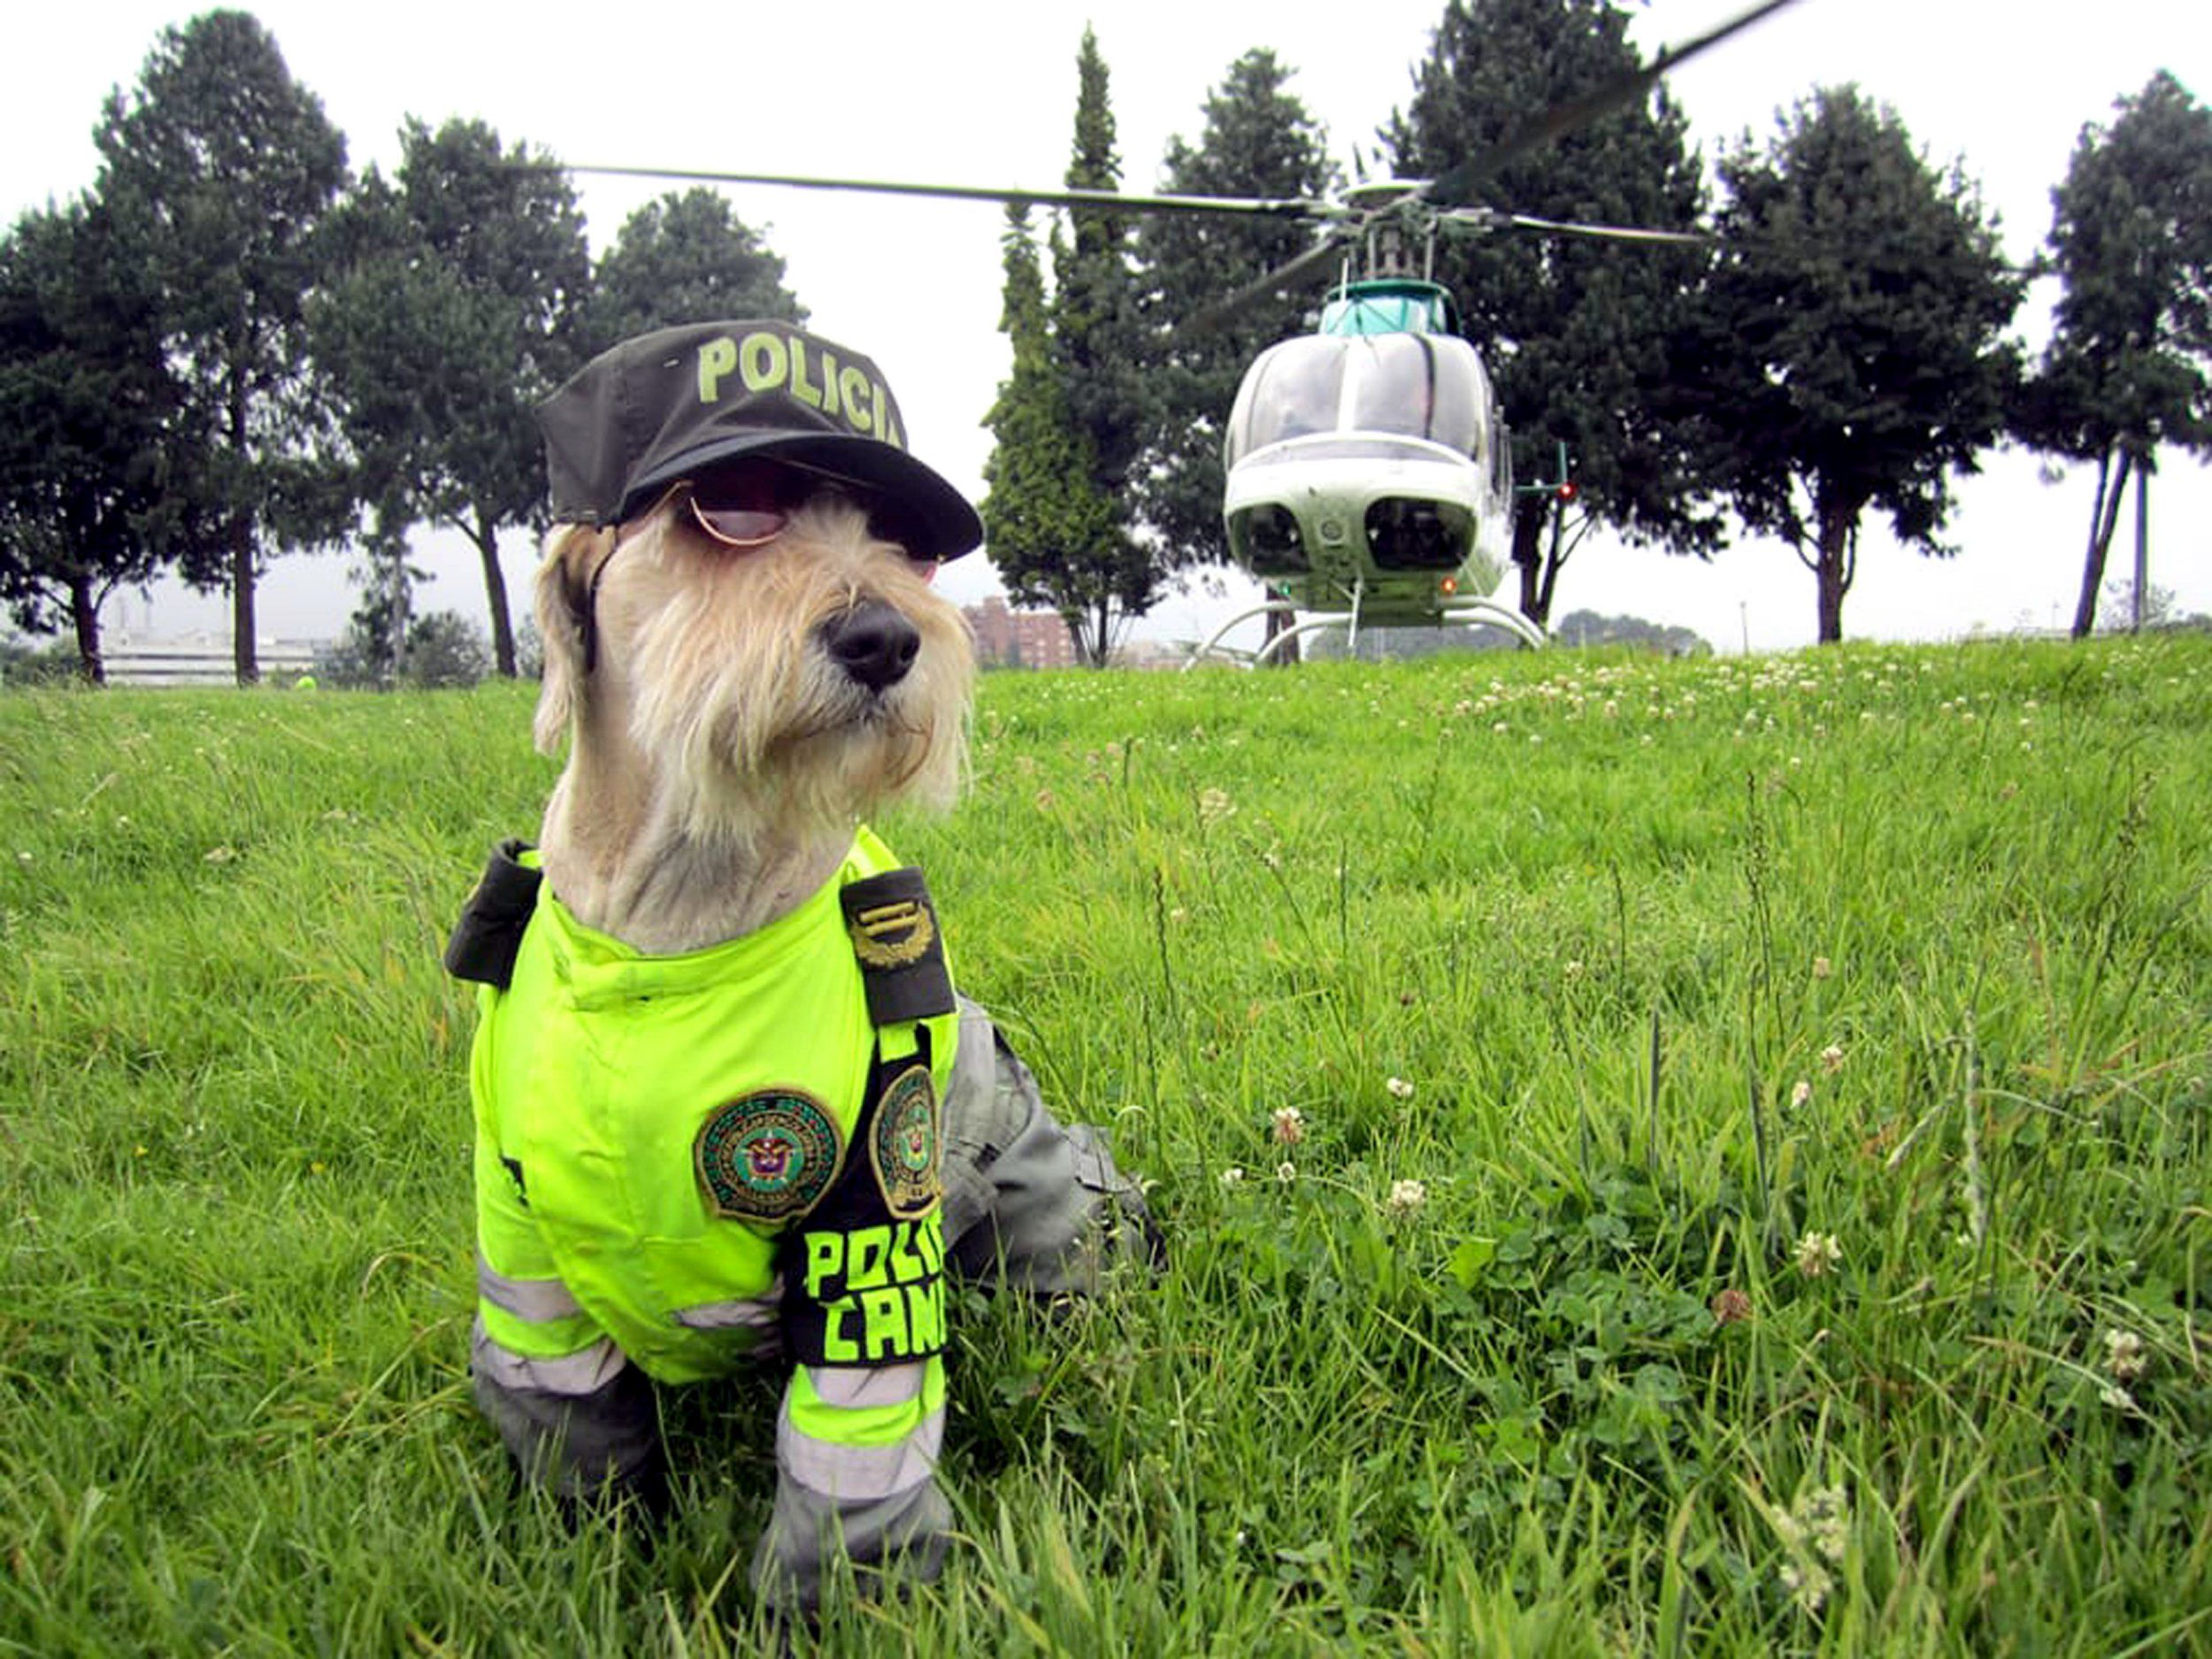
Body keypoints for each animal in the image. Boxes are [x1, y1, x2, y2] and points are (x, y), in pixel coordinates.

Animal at [444, 321, 1155, 1617]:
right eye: (735, 508)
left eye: (892, 533)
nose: (886, 639)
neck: (673, 934)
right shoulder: (520, 1235)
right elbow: (568, 1421)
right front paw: (590, 1558)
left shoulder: (870, 1221)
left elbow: (850, 1455)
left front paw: (836, 1609)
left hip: (1056, 1217)